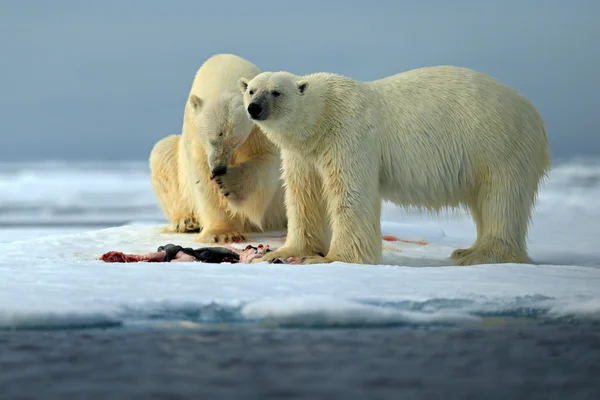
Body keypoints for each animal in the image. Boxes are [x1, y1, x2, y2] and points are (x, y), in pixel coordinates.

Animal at [152, 53, 288, 244]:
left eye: (235, 142)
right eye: (212, 140)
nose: (219, 168)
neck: (225, 70)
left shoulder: (258, 129)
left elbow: (265, 160)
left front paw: (228, 182)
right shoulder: (194, 132)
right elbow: (202, 177)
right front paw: (222, 233)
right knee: (163, 153)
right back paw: (186, 222)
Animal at [238, 65, 548, 266]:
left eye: (275, 92)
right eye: (251, 90)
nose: (254, 108)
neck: (322, 117)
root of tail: (534, 113)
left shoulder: (348, 136)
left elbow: (351, 195)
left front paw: (333, 259)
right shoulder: (304, 154)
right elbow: (305, 197)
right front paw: (284, 252)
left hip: (498, 144)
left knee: (500, 200)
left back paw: (479, 254)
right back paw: (467, 251)